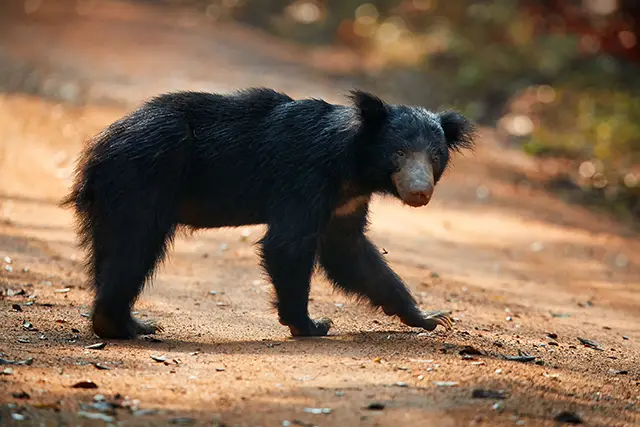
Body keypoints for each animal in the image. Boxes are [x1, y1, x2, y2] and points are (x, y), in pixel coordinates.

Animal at [61, 87, 476, 340]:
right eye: (399, 154)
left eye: (434, 157)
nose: (419, 192)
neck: (353, 167)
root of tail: (98, 146)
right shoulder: (305, 176)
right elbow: (288, 244)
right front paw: (311, 324)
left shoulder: (345, 202)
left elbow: (351, 253)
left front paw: (431, 317)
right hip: (143, 180)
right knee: (133, 249)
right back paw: (124, 324)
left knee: (111, 250)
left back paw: (125, 322)